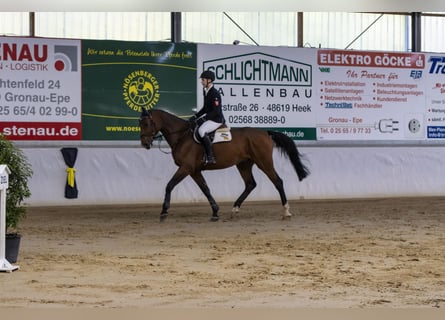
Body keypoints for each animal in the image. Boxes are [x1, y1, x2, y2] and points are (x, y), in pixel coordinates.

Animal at [140, 109, 308, 221]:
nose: (145, 144)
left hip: (264, 162)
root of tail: (265, 133)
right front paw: (215, 212)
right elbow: (205, 189)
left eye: (147, 123)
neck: (182, 136)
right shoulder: (194, 171)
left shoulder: (186, 168)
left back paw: (286, 211)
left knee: (277, 181)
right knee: (250, 184)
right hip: (243, 164)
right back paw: (235, 209)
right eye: (139, 123)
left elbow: (169, 185)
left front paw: (164, 211)